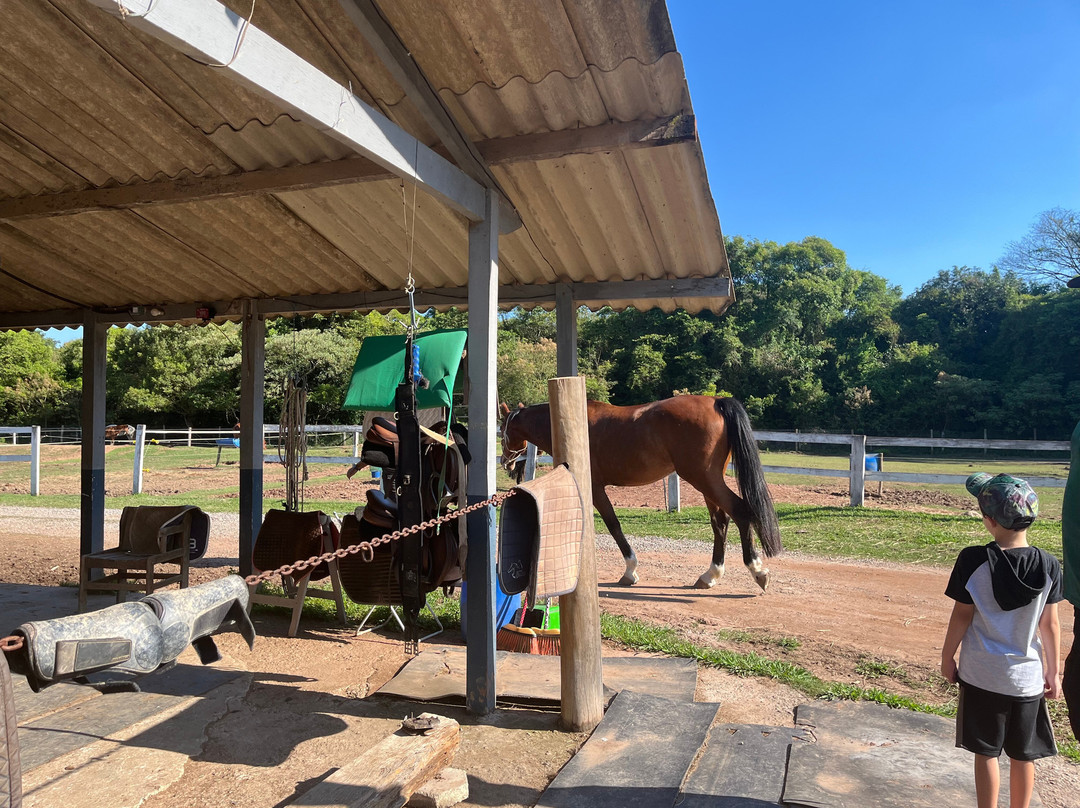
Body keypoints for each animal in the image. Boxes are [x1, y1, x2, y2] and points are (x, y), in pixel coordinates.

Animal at [499, 395, 782, 591]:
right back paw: (710, 575)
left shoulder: (595, 488)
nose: (506, 462)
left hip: (704, 479)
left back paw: (757, 570)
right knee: (720, 523)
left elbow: (613, 525)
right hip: (708, 483)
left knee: (740, 512)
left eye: (502, 431)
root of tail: (715, 401)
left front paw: (630, 570)